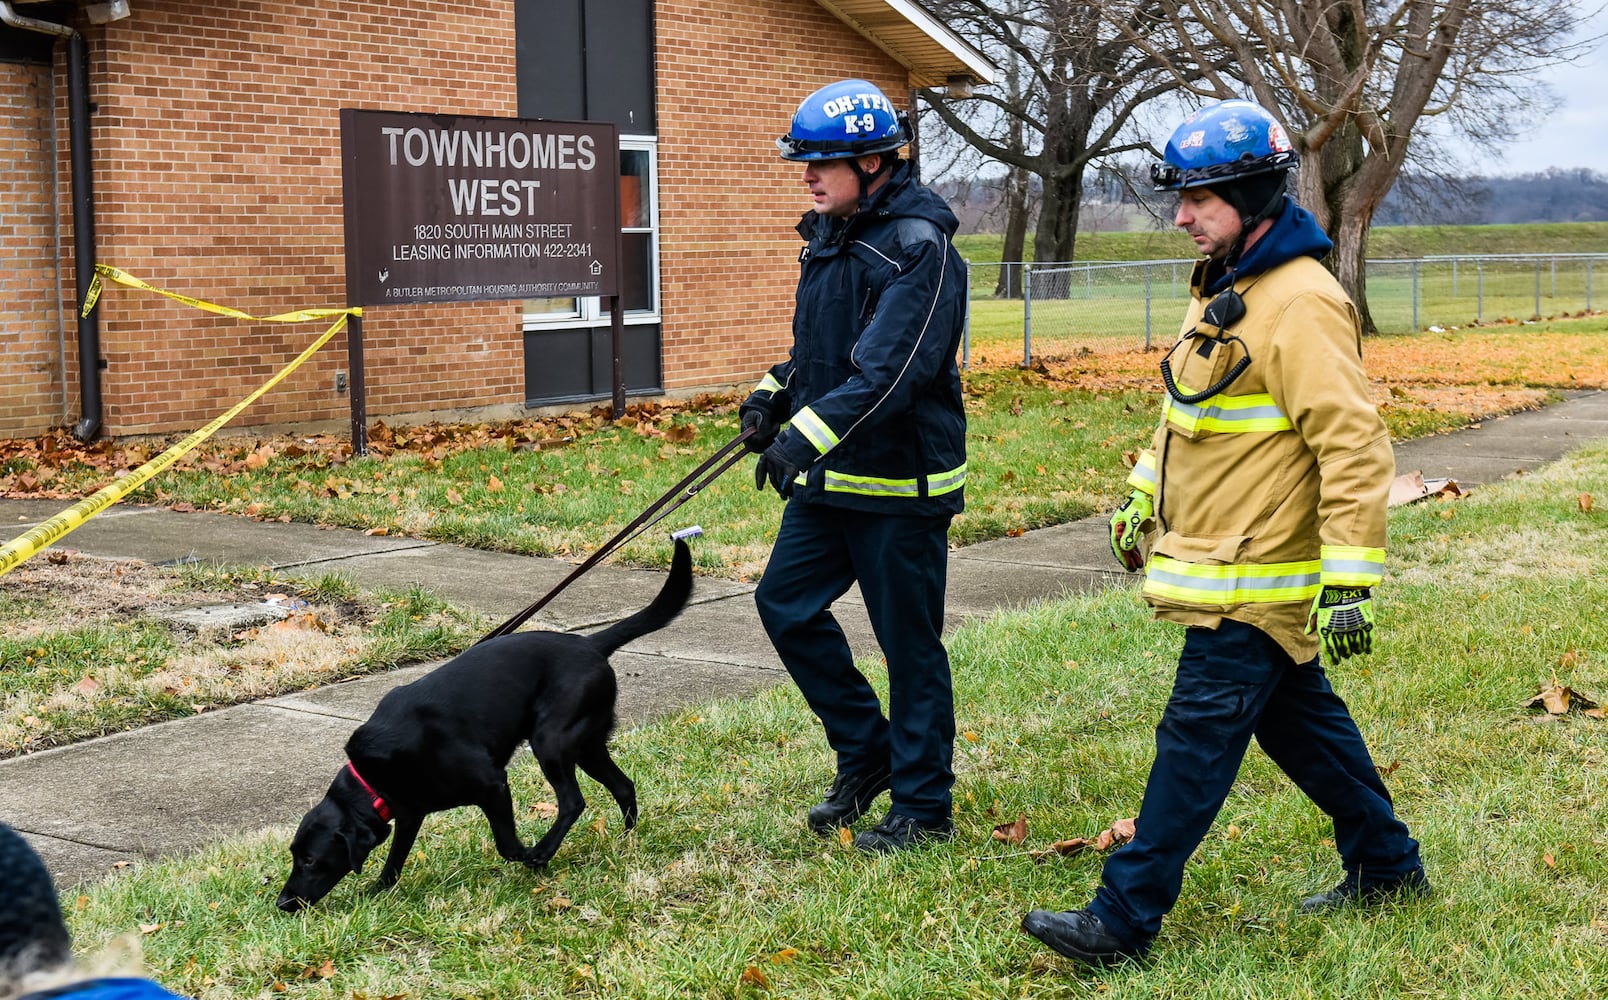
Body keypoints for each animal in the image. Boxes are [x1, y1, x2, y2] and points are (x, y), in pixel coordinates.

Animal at [276, 540, 691, 919]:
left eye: (310, 860)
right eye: (295, 855)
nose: (283, 903)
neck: (374, 776)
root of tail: (591, 643)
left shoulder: (492, 785)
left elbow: (506, 845)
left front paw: (528, 855)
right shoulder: (410, 814)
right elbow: (394, 861)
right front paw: (377, 891)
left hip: (551, 742)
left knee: (573, 801)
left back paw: (545, 851)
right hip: (588, 745)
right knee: (623, 786)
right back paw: (626, 841)